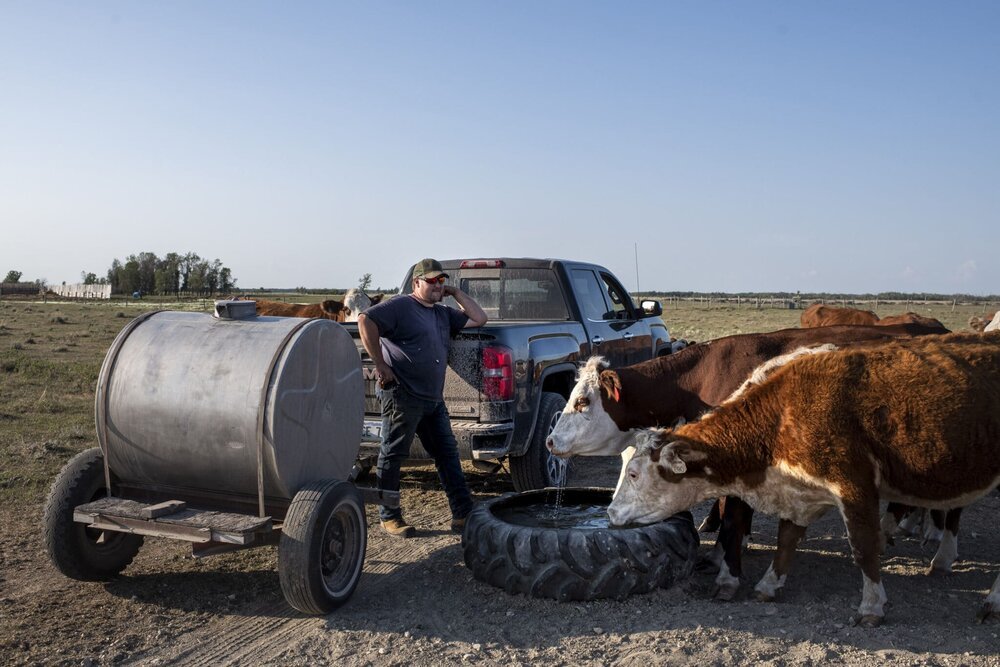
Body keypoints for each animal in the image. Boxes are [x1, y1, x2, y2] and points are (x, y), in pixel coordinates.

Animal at [548, 322, 944, 600]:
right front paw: (722, 553)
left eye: (582, 401)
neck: (699, 378)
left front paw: (727, 572)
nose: (550, 440)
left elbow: (733, 513)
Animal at [604, 336, 1000, 628]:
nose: (609, 514)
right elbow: (786, 539)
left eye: (634, 474)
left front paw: (871, 606)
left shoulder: (854, 486)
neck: (783, 414)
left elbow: (862, 548)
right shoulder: (799, 491)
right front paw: (768, 584)